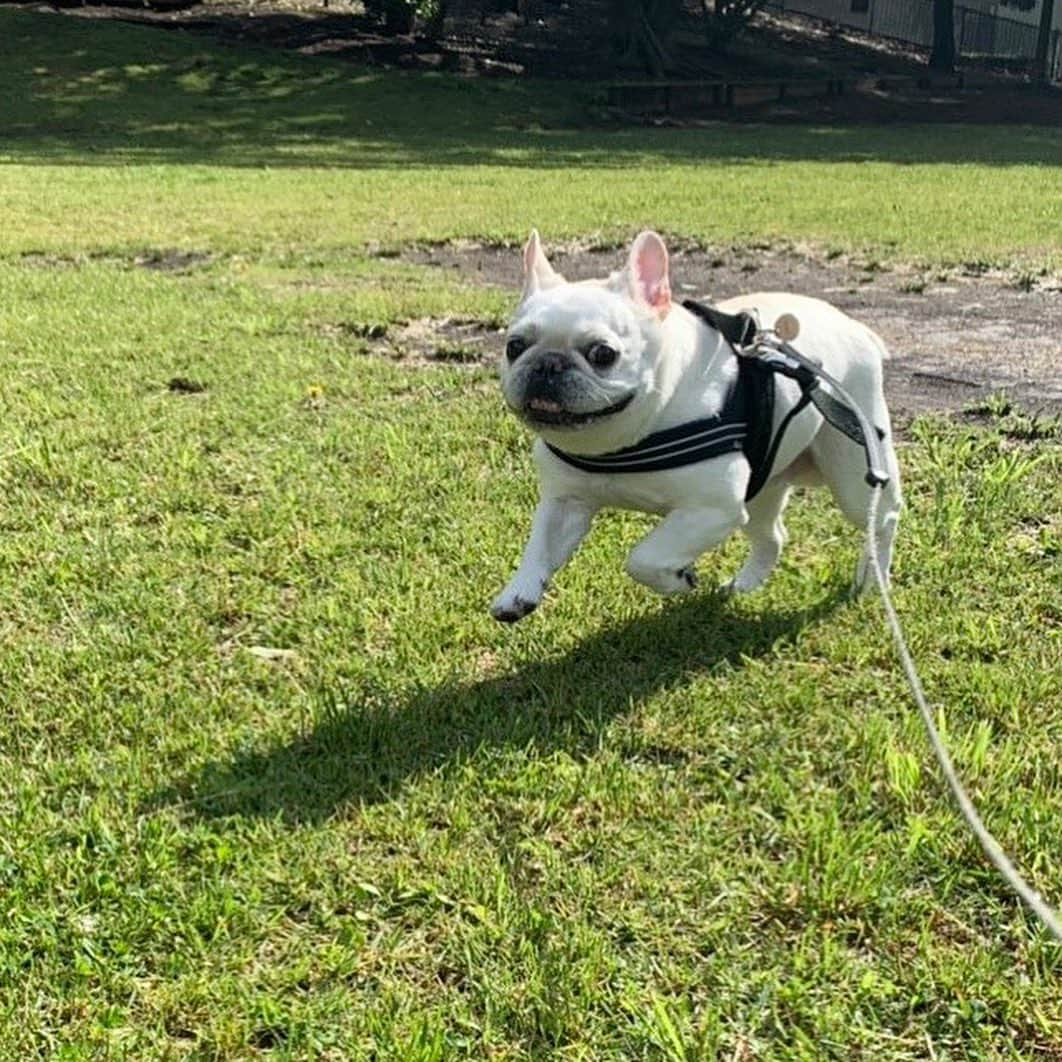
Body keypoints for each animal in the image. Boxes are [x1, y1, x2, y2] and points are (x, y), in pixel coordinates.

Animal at [492, 230, 900, 620]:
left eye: (603, 354)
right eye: (514, 346)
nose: (547, 364)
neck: (622, 440)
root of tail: (854, 326)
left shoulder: (712, 509)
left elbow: (644, 557)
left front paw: (677, 579)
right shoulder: (565, 502)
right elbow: (539, 546)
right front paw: (518, 592)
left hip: (853, 471)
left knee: (881, 520)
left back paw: (870, 579)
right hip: (761, 488)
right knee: (772, 536)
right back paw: (744, 585)